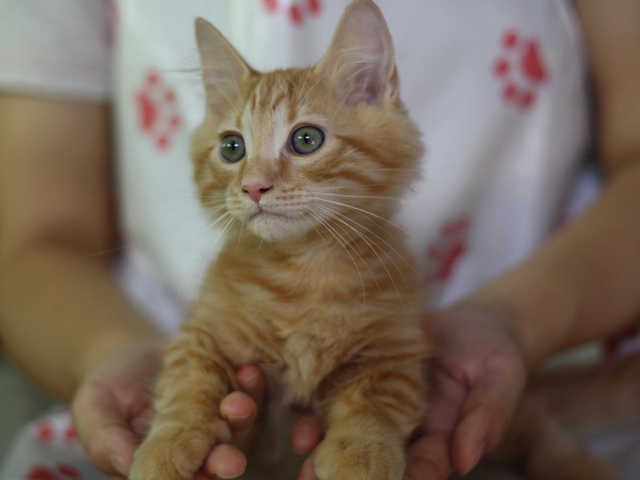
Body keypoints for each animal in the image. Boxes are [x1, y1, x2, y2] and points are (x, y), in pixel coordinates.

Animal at [130, 1, 430, 478]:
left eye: (307, 139)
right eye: (232, 148)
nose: (254, 187)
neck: (304, 271)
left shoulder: (395, 348)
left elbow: (376, 402)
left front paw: (360, 453)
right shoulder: (203, 329)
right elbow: (186, 380)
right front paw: (167, 442)